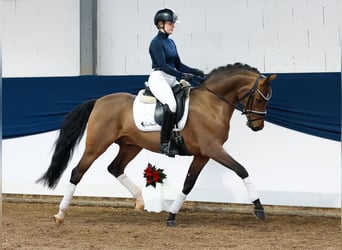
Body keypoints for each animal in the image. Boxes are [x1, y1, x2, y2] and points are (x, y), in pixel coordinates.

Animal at [37, 62, 276, 227]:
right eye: (260, 99)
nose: (257, 127)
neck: (212, 103)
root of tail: (99, 101)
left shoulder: (203, 154)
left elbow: (188, 183)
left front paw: (171, 216)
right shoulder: (213, 149)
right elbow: (241, 169)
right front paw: (259, 209)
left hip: (131, 146)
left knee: (115, 168)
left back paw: (140, 202)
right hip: (97, 145)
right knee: (77, 172)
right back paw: (60, 214)